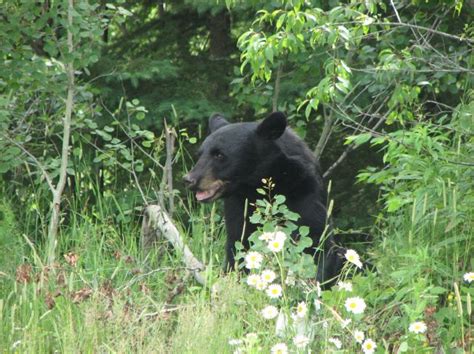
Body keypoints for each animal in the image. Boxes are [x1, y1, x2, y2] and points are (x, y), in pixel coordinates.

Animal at [183, 112, 342, 286]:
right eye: (200, 154)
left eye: (219, 154)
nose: (189, 180)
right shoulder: (237, 208)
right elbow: (238, 247)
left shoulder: (305, 197)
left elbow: (318, 243)